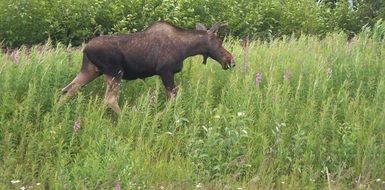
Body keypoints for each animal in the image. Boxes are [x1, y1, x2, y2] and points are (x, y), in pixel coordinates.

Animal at [59, 21, 234, 113]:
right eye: (219, 41)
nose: (231, 60)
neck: (186, 49)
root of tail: (85, 49)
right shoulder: (165, 71)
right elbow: (172, 99)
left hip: (91, 70)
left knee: (67, 90)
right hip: (115, 71)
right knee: (110, 99)